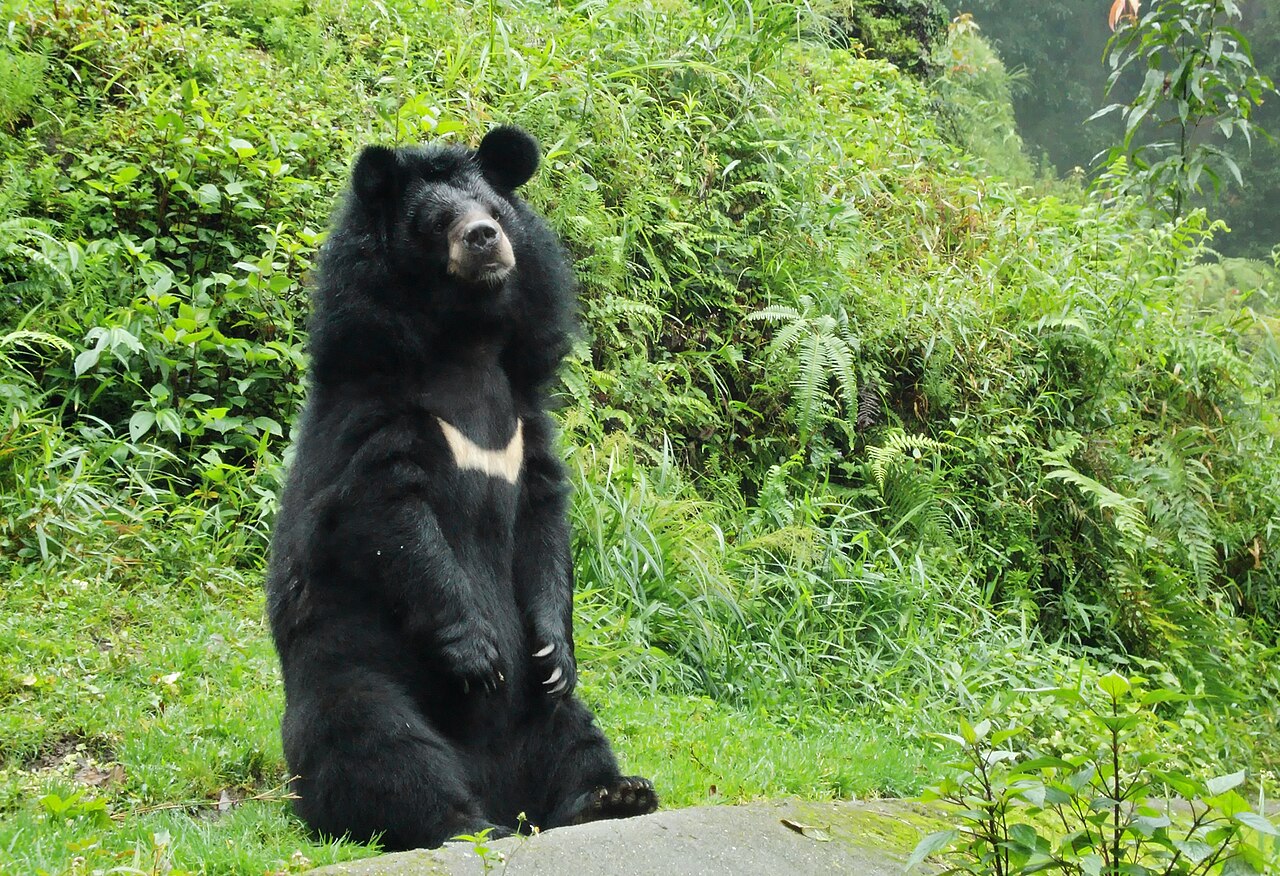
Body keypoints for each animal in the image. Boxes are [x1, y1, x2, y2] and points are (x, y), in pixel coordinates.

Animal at [264, 126, 657, 851]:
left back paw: (611, 795)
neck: (466, 342)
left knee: (573, 730)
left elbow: (543, 523)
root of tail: (501, 789)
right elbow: (390, 517)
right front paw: (477, 654)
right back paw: (462, 823)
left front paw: (555, 648)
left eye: (494, 211)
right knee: (379, 745)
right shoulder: (376, 414)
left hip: (544, 719)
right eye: (436, 221)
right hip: (356, 668)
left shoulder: (526, 425)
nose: (483, 238)